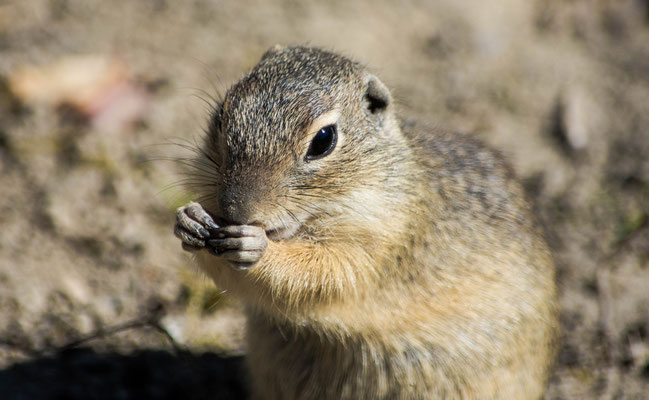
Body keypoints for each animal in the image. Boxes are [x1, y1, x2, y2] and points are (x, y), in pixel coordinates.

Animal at [173, 46, 556, 396]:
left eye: (323, 140)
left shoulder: (379, 247)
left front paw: (257, 247)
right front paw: (188, 220)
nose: (234, 210)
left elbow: (322, 274)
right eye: (222, 115)